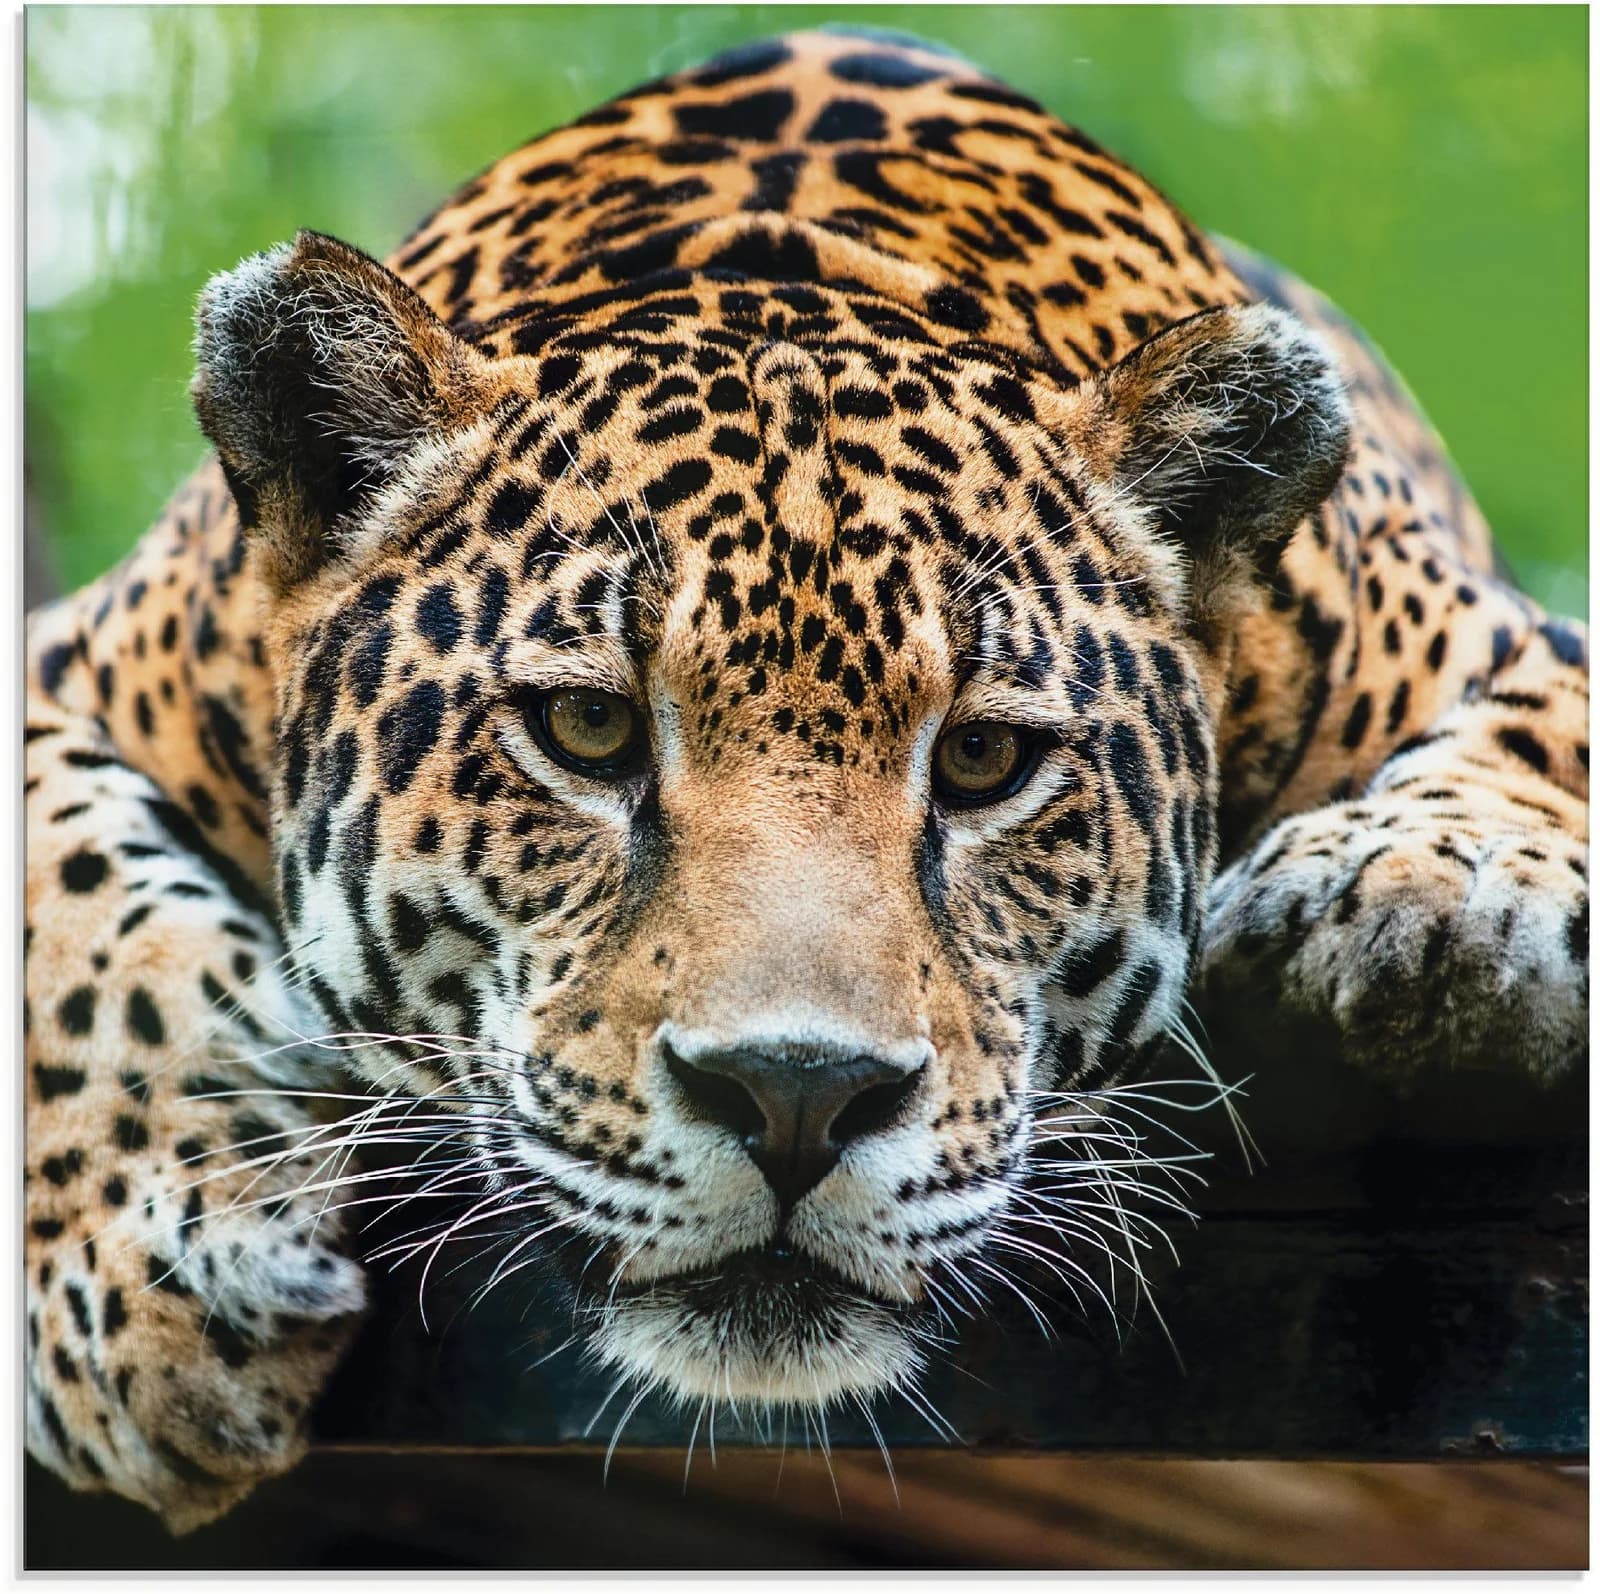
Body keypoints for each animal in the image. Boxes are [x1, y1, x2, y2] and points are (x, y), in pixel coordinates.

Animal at [24, 28, 1587, 1532]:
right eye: (587, 729)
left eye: (982, 758)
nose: (794, 1097)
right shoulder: (71, 662)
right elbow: (75, 908)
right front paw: (159, 1274)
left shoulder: (1502, 635)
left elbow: (1537, 742)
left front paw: (1422, 892)